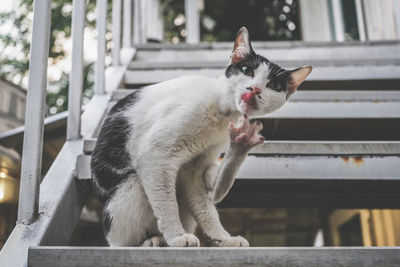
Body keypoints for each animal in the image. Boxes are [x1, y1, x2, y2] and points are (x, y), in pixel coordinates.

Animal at [90, 26, 312, 247]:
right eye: (246, 71)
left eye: (274, 85)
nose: (255, 88)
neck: (221, 115)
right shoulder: (155, 156)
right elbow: (166, 205)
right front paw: (177, 237)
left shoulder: (195, 168)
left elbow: (206, 210)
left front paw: (224, 238)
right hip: (131, 186)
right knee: (121, 241)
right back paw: (152, 241)